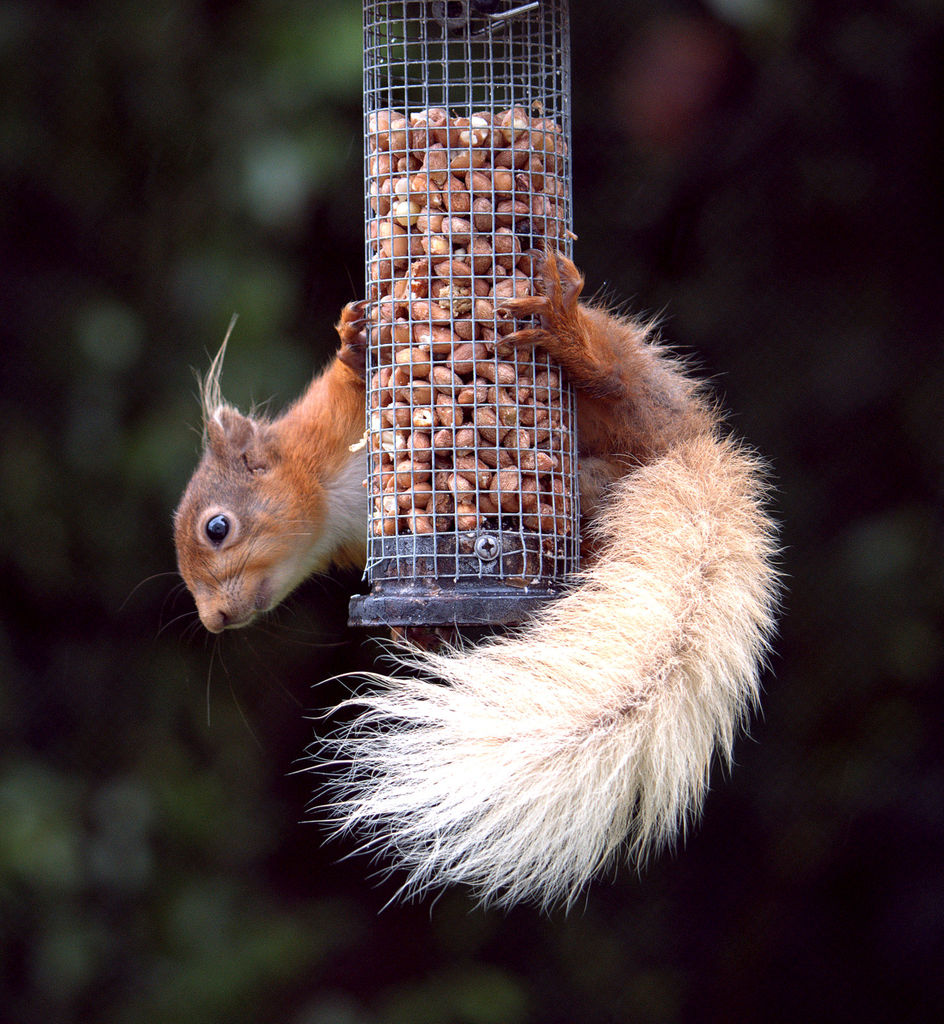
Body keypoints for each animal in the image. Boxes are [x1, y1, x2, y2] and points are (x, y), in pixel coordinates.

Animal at [173, 251, 778, 909]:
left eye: (217, 528)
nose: (214, 619)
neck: (329, 511)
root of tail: (682, 441)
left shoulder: (328, 425)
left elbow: (347, 383)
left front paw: (355, 344)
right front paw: (419, 635)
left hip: (628, 398)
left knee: (615, 382)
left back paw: (569, 337)